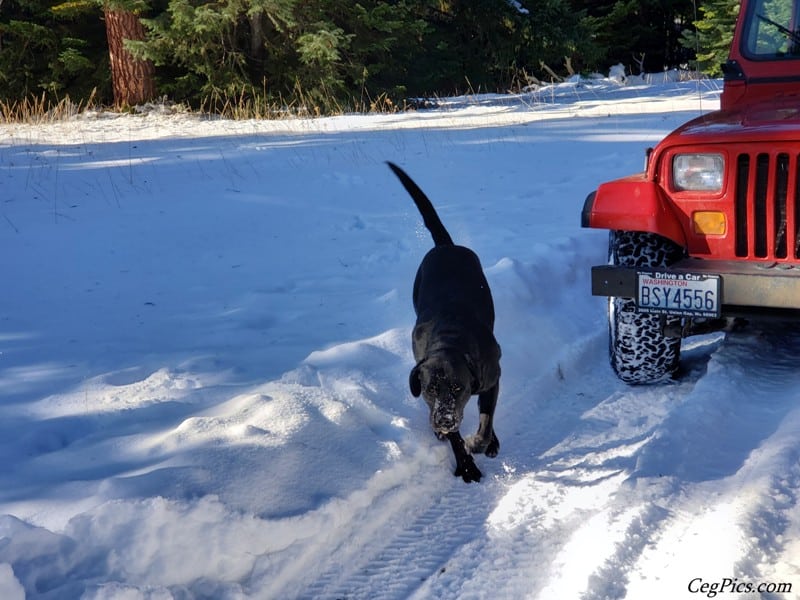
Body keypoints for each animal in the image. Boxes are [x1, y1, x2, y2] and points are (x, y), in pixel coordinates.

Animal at [388, 163, 500, 482]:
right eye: (430, 389)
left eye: (458, 387)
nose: (444, 420)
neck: (450, 340)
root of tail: (446, 246)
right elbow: (456, 437)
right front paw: (466, 464)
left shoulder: (493, 376)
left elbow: (486, 420)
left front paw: (481, 442)